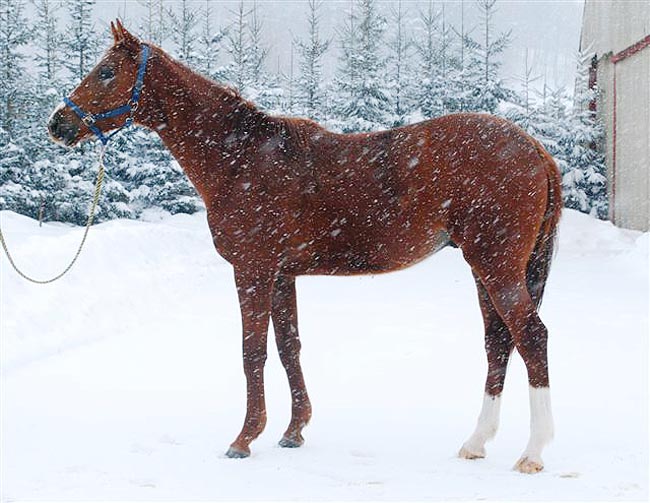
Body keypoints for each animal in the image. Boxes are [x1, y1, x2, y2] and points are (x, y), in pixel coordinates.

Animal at [48, 21, 560, 474]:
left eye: (106, 72)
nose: (58, 124)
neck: (239, 157)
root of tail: (534, 148)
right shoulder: (282, 273)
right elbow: (288, 346)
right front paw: (293, 431)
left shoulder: (252, 269)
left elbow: (252, 350)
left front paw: (244, 438)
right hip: (485, 268)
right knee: (498, 342)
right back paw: (476, 442)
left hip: (496, 266)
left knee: (531, 337)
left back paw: (534, 453)